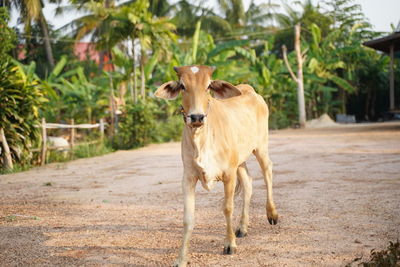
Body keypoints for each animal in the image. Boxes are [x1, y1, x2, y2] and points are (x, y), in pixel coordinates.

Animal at [154, 65, 278, 267]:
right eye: (182, 86)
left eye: (208, 86)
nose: (196, 117)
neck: (201, 139)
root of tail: (250, 90)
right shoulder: (188, 177)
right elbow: (188, 218)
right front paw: (181, 258)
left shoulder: (228, 174)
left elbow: (227, 208)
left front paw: (229, 245)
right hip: (240, 161)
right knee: (248, 183)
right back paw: (242, 227)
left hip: (261, 146)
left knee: (267, 171)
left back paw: (272, 214)